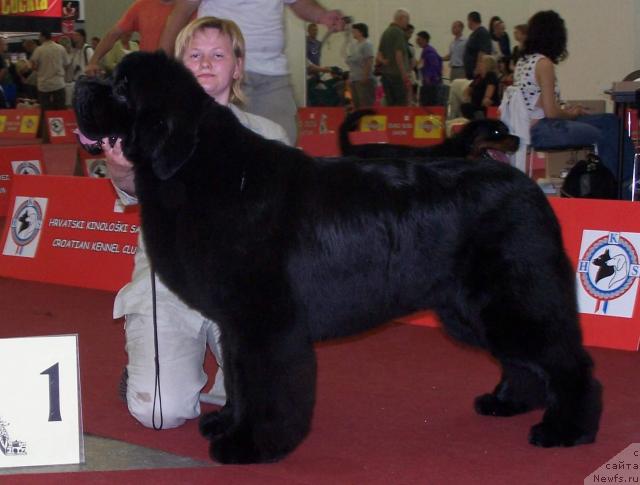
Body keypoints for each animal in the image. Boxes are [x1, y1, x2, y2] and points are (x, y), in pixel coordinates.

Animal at [74, 51, 600, 464]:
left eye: (121, 87)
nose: (81, 82)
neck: (197, 168)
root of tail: (531, 190)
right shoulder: (237, 324)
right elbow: (240, 380)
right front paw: (226, 424)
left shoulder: (266, 321)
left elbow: (265, 384)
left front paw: (251, 445)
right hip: (471, 311)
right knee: (523, 361)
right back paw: (506, 402)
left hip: (512, 300)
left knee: (567, 361)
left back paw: (566, 429)